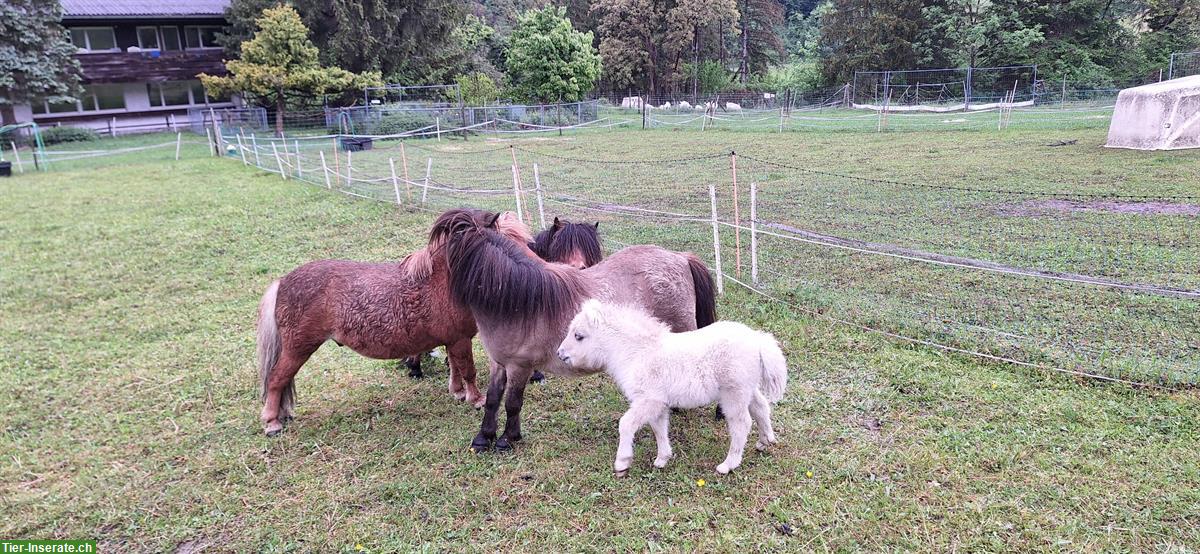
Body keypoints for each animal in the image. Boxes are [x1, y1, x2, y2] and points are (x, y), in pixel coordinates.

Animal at [255, 207, 532, 436]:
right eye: (509, 243)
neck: (446, 281)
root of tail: (282, 282)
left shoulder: (452, 340)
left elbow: (454, 368)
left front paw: (457, 392)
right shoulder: (461, 340)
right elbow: (468, 370)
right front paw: (476, 399)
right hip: (298, 348)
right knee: (276, 379)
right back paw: (272, 423)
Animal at [429, 207, 715, 450]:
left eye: (443, 245)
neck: (516, 300)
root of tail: (680, 258)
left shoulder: (520, 366)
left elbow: (512, 403)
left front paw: (507, 439)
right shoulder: (498, 363)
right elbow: (492, 399)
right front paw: (483, 438)